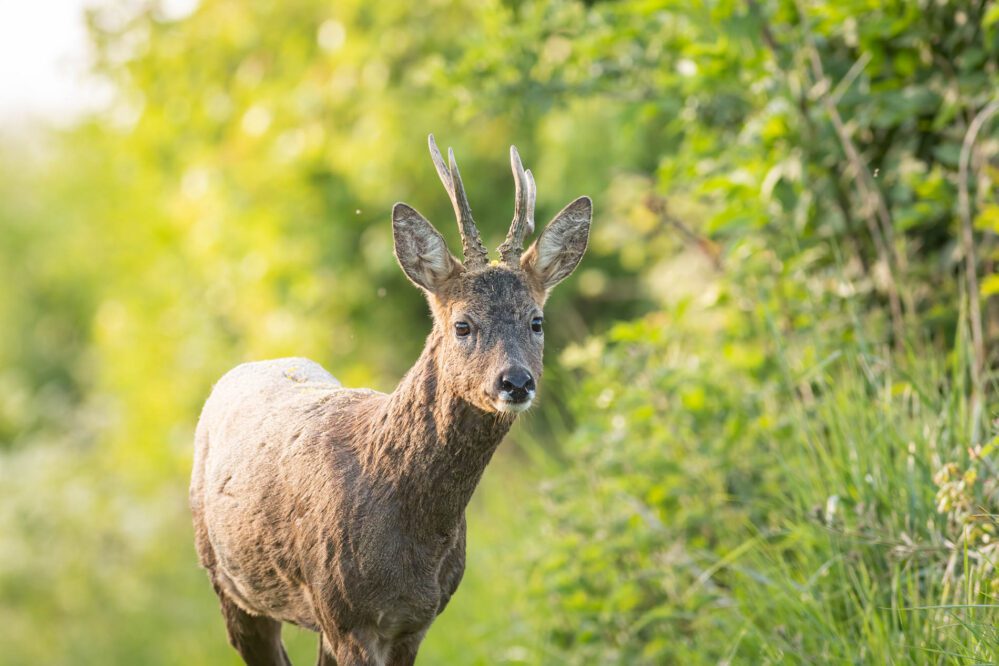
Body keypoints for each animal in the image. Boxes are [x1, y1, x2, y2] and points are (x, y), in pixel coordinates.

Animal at [191, 132, 588, 660]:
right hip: (229, 583)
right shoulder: (347, 616)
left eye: (536, 321)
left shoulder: (414, 621)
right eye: (463, 324)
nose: (516, 382)